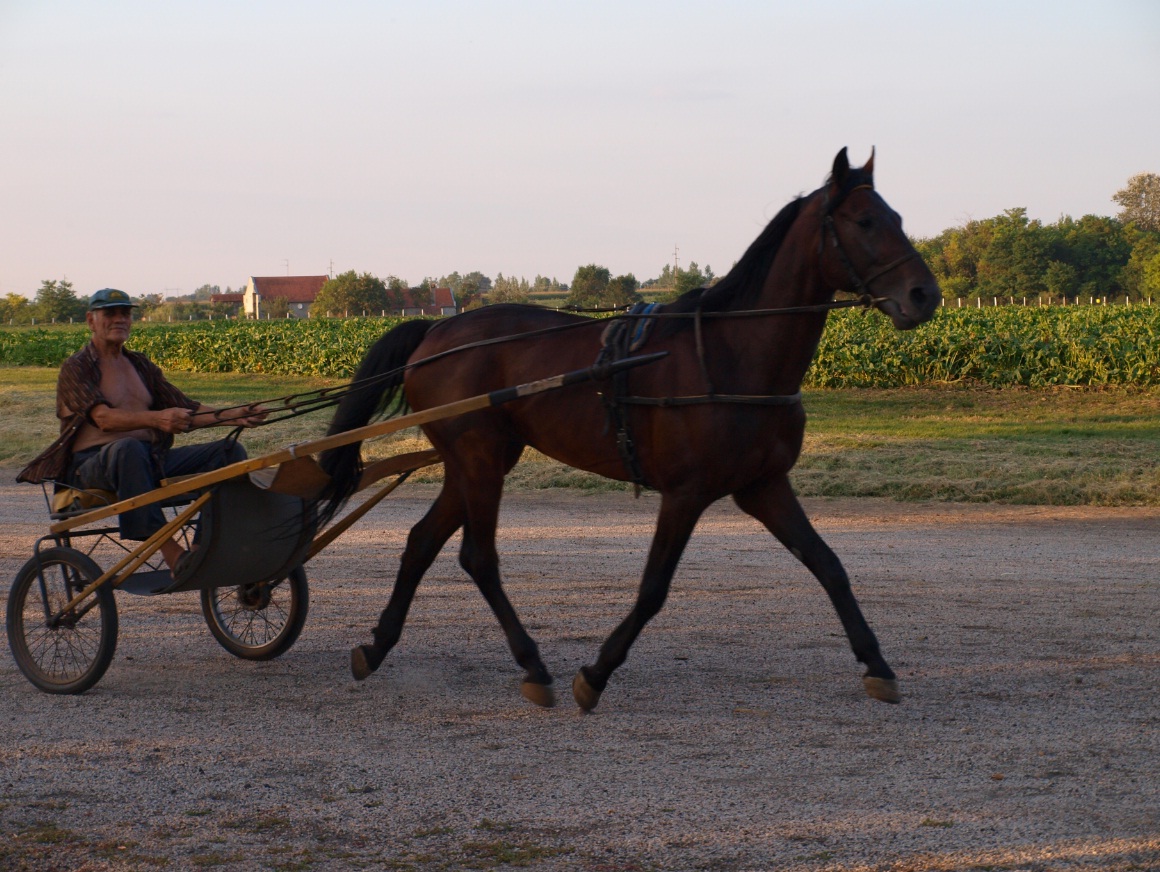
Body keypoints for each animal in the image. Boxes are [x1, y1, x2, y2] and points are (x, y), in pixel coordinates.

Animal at [322, 149, 937, 709]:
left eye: (898, 215)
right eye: (864, 221)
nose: (924, 293)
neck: (731, 353)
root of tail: (435, 332)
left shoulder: (763, 485)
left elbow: (829, 566)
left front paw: (878, 664)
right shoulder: (686, 493)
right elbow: (652, 589)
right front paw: (595, 674)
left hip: (476, 461)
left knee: (423, 541)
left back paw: (376, 647)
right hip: (478, 458)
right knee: (479, 557)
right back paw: (532, 665)